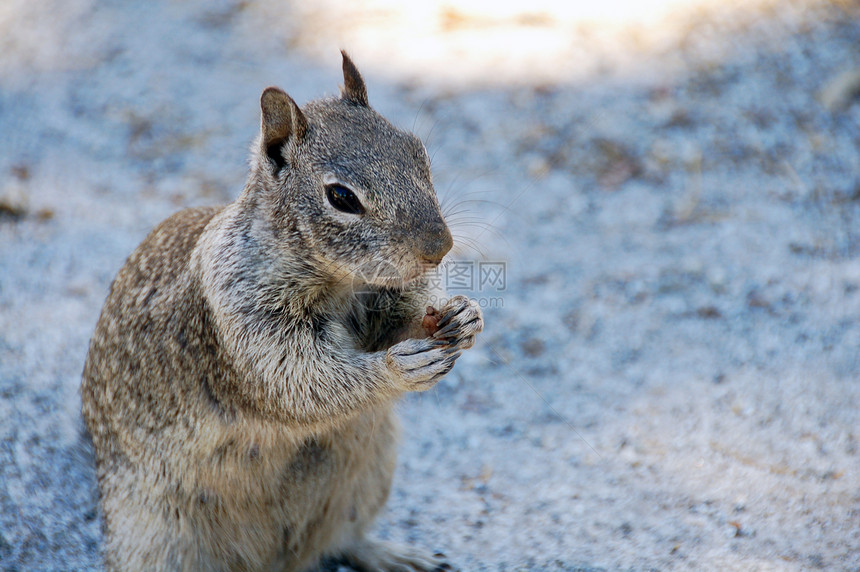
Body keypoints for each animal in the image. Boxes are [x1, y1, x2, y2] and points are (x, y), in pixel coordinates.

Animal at [79, 51, 484, 568]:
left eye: (419, 153)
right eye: (341, 197)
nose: (440, 248)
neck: (342, 281)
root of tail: (276, 561)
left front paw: (463, 315)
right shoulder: (245, 318)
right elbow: (301, 379)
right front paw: (398, 368)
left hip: (369, 469)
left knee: (340, 539)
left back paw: (393, 554)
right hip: (154, 536)